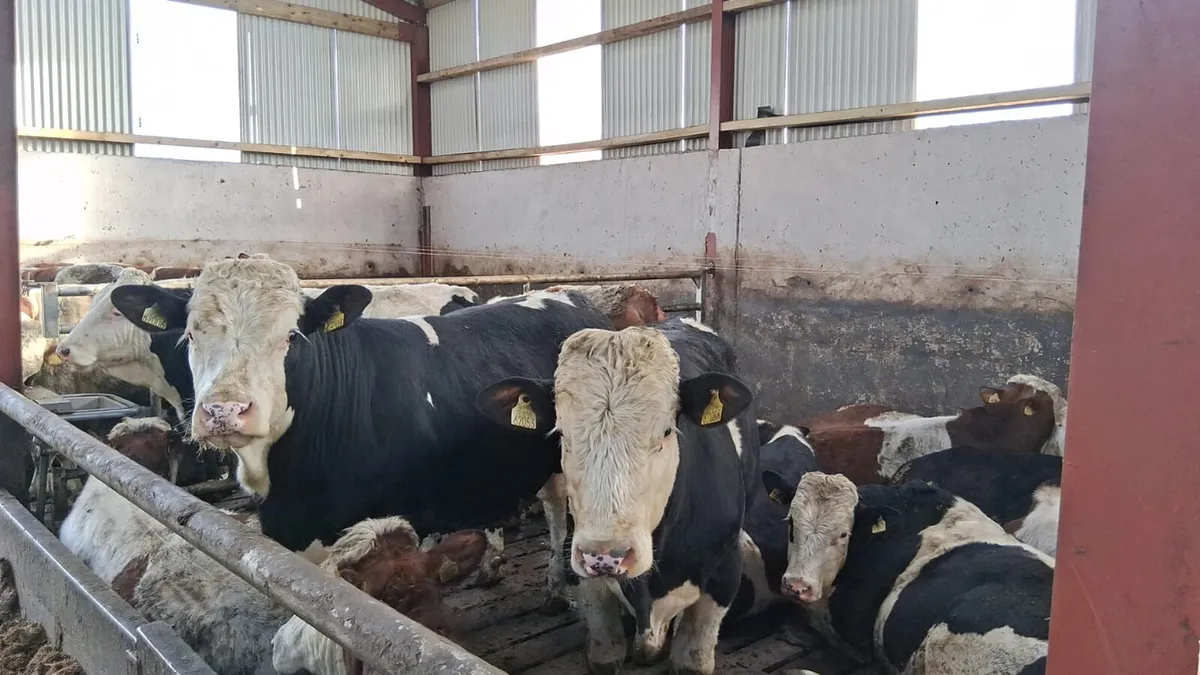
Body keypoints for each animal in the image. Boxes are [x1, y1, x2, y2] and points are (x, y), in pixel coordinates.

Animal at [476, 319, 757, 675]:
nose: (606, 556)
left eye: (666, 431)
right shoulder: (588, 590)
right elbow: (604, 652)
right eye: (561, 432)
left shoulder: (723, 576)